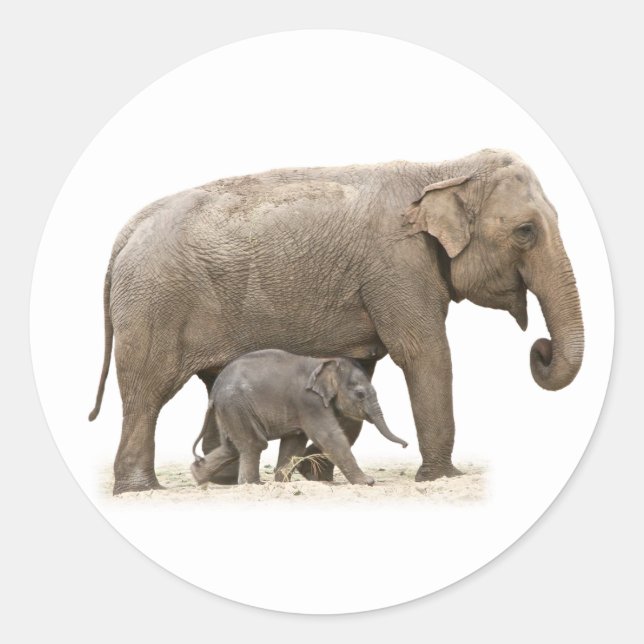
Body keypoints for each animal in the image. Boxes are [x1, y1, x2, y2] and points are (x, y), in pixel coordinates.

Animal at [190, 349, 407, 486]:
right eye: (360, 394)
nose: (406, 446)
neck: (325, 362)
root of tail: (214, 392)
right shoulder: (309, 402)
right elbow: (329, 437)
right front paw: (367, 482)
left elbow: (294, 442)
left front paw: (282, 483)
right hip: (236, 405)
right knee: (254, 444)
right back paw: (253, 484)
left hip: (229, 409)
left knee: (232, 447)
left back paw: (197, 477)